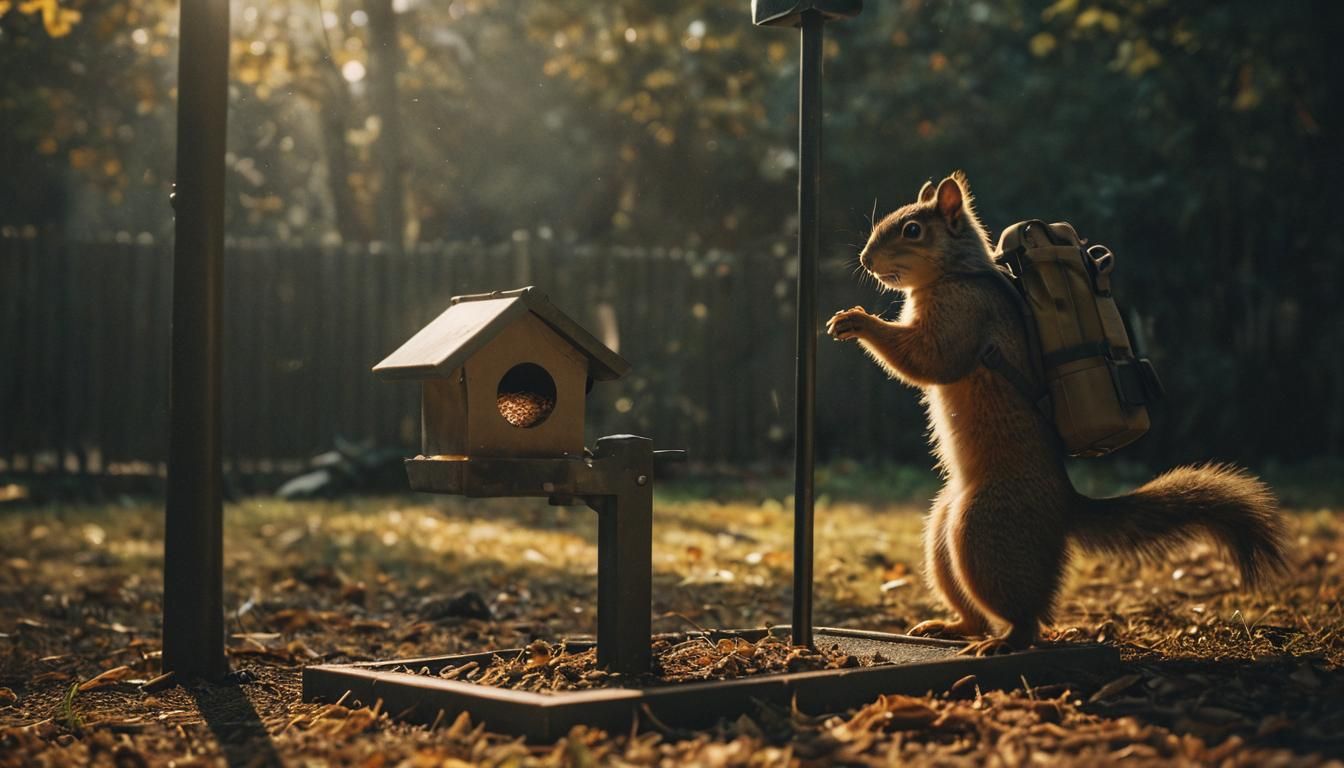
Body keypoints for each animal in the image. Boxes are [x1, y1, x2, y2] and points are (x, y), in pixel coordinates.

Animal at [826, 172, 1288, 655]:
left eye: (913, 230)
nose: (865, 260)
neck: (958, 274)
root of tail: (1065, 504)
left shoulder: (964, 316)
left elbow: (930, 360)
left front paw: (858, 321)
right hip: (941, 535)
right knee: (975, 613)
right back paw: (950, 627)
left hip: (983, 532)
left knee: (1026, 618)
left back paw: (1004, 641)